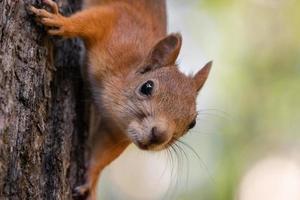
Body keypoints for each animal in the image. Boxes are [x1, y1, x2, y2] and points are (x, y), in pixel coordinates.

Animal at [28, 0, 211, 199]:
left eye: (192, 123)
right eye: (147, 87)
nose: (159, 135)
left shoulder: (114, 133)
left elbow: (101, 155)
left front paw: (91, 180)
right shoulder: (116, 23)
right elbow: (88, 21)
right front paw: (60, 21)